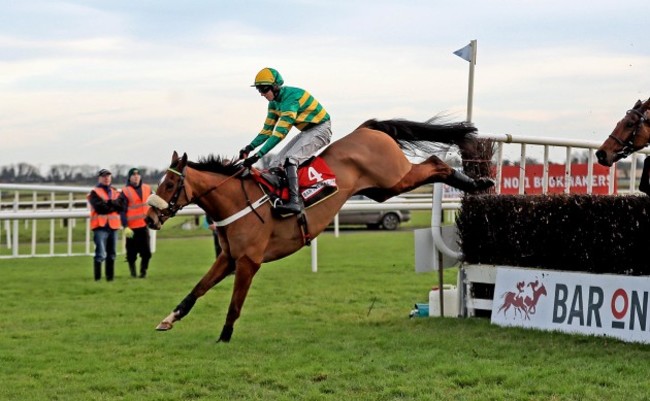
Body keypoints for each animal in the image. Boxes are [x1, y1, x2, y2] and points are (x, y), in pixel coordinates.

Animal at [147, 116, 492, 340]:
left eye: (169, 185)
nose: (149, 219)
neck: (235, 201)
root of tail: (367, 128)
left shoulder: (248, 262)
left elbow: (235, 304)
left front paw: (224, 337)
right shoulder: (229, 258)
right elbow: (197, 289)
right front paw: (168, 319)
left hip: (394, 177)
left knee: (436, 162)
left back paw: (478, 181)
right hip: (383, 189)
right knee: (433, 166)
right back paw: (477, 181)